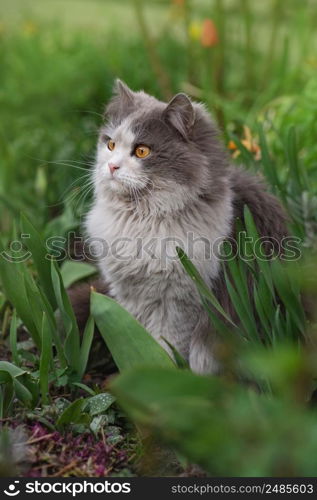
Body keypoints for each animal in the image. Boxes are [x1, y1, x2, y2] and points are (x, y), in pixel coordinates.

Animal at [83, 79, 286, 372]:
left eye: (142, 151)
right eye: (110, 145)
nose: (111, 166)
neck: (142, 219)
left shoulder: (181, 302)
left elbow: (166, 345)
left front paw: (163, 372)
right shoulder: (128, 293)